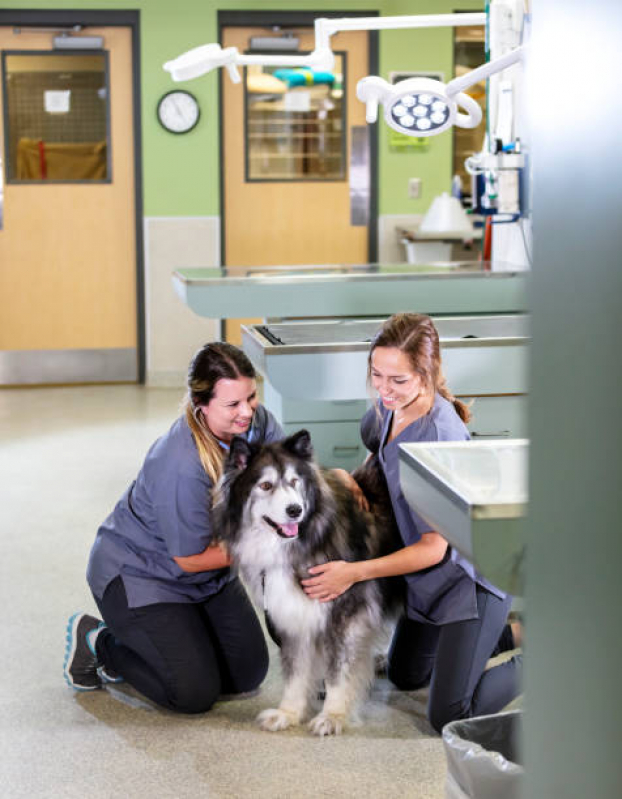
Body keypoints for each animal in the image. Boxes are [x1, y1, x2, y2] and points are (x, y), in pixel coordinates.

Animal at [212, 432, 402, 736]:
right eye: (265, 485)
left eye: (294, 481)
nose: (295, 510)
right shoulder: (292, 614)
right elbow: (296, 671)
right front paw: (288, 713)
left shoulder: (344, 617)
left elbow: (338, 673)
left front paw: (333, 716)